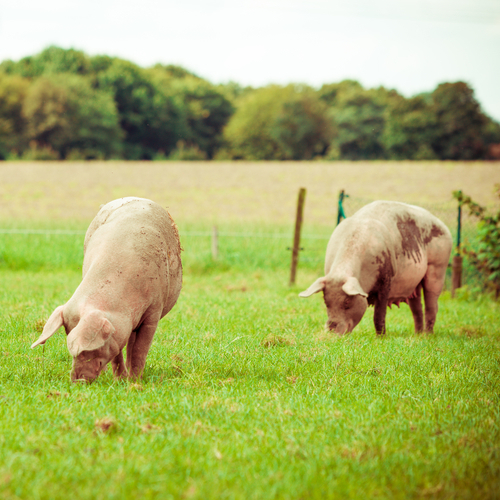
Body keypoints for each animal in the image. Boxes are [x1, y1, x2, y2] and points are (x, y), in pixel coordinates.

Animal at [29, 197, 182, 380]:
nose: (78, 380)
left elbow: (140, 349)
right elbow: (117, 351)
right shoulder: (117, 328)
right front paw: (120, 379)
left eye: (89, 349)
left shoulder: (154, 309)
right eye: (68, 335)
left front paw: (134, 381)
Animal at [300, 200, 454, 336]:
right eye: (325, 301)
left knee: (431, 305)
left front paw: (381, 337)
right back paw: (417, 335)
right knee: (417, 308)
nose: (331, 331)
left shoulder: (386, 279)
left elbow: (379, 314)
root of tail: (445, 227)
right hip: (414, 284)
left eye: (347, 301)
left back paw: (428, 336)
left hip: (438, 267)